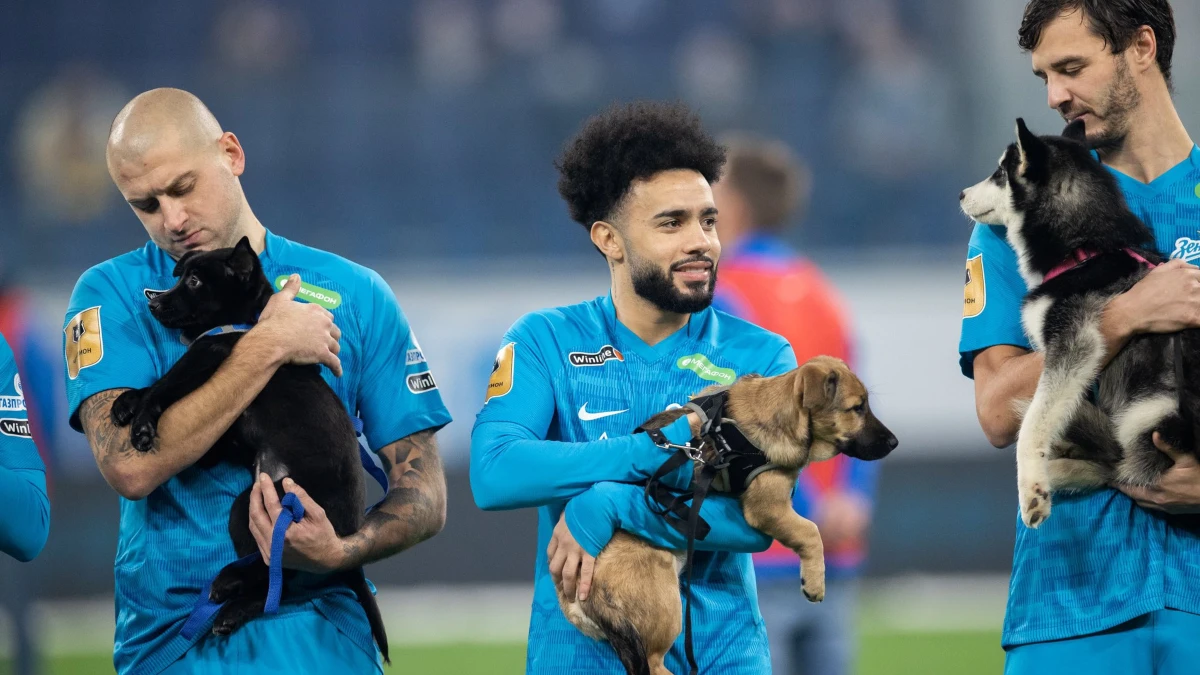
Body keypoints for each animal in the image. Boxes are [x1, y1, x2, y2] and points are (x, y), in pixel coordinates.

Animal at [556, 355, 897, 667]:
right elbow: (811, 531)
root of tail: (573, 603)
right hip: (662, 614)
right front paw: (814, 582)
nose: (894, 443)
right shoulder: (768, 507)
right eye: (857, 408)